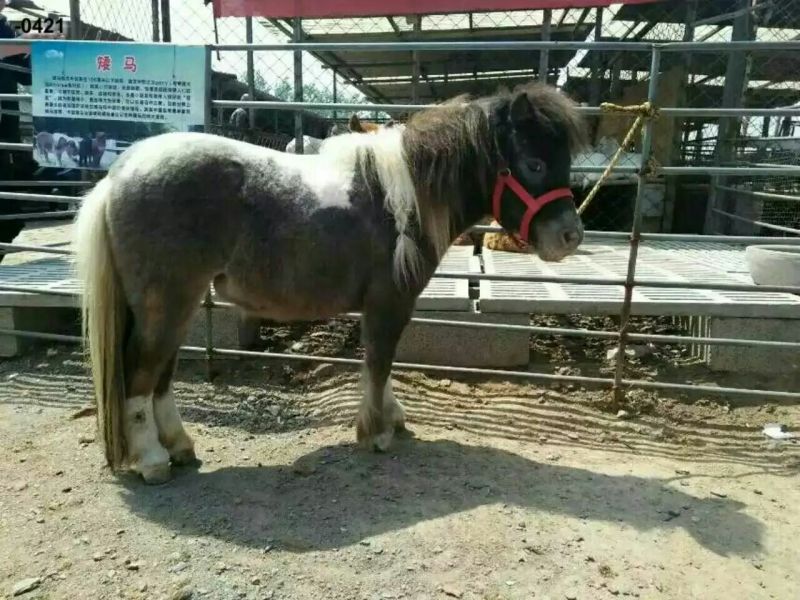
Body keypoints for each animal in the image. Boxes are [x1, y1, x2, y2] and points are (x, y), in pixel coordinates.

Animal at [74, 81, 587, 484]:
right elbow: (379, 363)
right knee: (141, 374)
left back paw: (179, 446)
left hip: (176, 305)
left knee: (160, 375)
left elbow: (383, 367)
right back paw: (152, 459)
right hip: (165, 304)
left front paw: (391, 419)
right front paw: (376, 433)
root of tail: (118, 176)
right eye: (534, 163)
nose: (571, 236)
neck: (403, 199)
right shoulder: (389, 303)